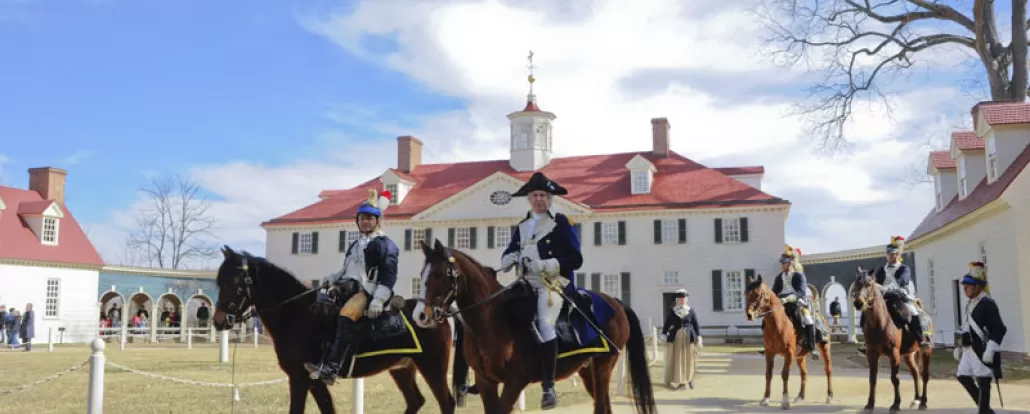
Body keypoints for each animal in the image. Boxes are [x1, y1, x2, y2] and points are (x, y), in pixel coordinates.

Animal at [210, 246, 456, 414]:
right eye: (219, 281)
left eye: (235, 281)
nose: (218, 321)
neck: (300, 314)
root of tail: (436, 311)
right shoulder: (313, 380)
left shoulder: (301, 378)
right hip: (402, 368)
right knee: (416, 401)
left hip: (433, 369)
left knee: (446, 402)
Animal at [411, 240, 657, 414]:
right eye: (421, 275)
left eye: (439, 274)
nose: (420, 316)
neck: (490, 320)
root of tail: (615, 301)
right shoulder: (486, 381)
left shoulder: (515, 381)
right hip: (588, 371)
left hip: (603, 366)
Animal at [744, 274, 834, 409]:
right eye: (746, 293)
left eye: (759, 294)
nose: (749, 315)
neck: (778, 324)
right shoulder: (770, 353)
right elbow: (768, 374)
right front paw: (765, 399)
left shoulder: (789, 353)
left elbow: (785, 374)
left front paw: (785, 401)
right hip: (800, 356)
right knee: (804, 373)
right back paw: (800, 397)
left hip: (825, 348)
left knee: (828, 370)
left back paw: (829, 396)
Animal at [851, 267, 933, 412]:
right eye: (856, 283)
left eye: (869, 284)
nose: (858, 303)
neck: (881, 323)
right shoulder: (871, 354)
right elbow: (872, 379)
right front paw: (870, 404)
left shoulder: (894, 354)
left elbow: (895, 378)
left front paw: (896, 404)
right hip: (909, 355)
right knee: (915, 373)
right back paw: (916, 399)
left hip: (926, 350)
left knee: (925, 375)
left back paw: (923, 402)